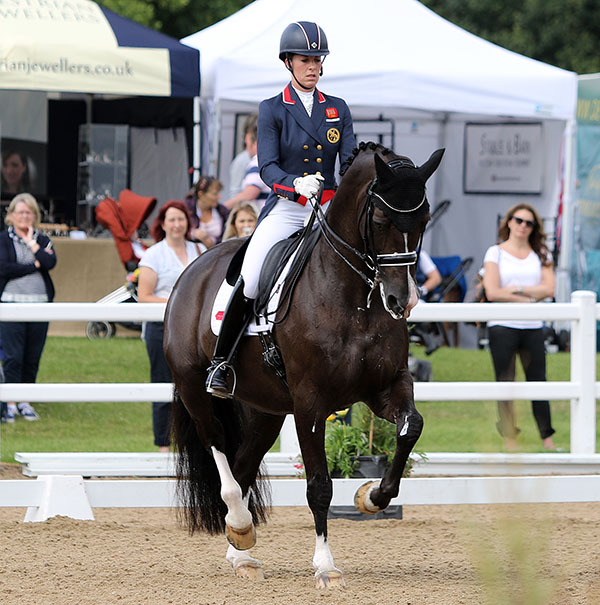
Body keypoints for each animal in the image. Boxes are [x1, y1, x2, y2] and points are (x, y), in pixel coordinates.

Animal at [164, 142, 446, 584]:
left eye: (424, 218)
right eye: (381, 219)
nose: (402, 300)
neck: (354, 298)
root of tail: (193, 267)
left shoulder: (386, 386)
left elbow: (410, 427)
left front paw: (372, 496)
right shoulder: (311, 403)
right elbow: (319, 485)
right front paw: (326, 566)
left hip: (265, 410)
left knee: (244, 464)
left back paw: (241, 547)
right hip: (196, 390)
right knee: (219, 449)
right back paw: (240, 527)